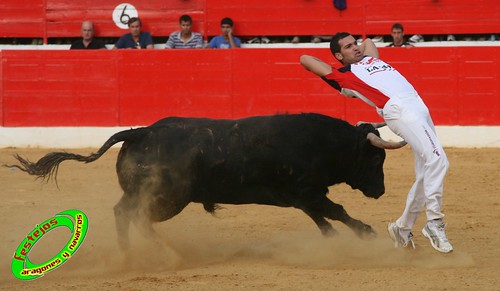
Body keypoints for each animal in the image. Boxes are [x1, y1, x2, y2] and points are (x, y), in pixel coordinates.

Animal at [8, 113, 406, 250]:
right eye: (377, 158)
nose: (380, 190)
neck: (321, 142)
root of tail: (139, 132)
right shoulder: (307, 191)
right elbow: (335, 211)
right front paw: (366, 232)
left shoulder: (301, 196)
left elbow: (322, 219)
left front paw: (338, 238)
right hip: (166, 197)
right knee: (129, 213)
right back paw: (160, 252)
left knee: (129, 214)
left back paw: (140, 250)